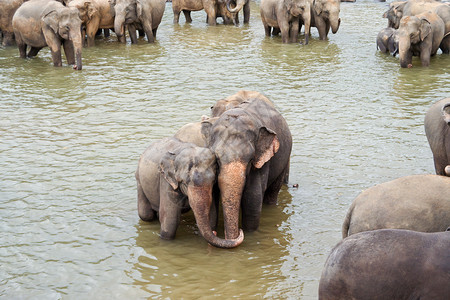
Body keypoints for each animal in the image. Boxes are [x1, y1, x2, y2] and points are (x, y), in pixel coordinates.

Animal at [200, 96, 292, 239]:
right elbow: (211, 197)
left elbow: (252, 199)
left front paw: (250, 234)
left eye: (249, 160)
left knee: (273, 192)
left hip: (284, 158)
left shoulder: (261, 163)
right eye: (217, 160)